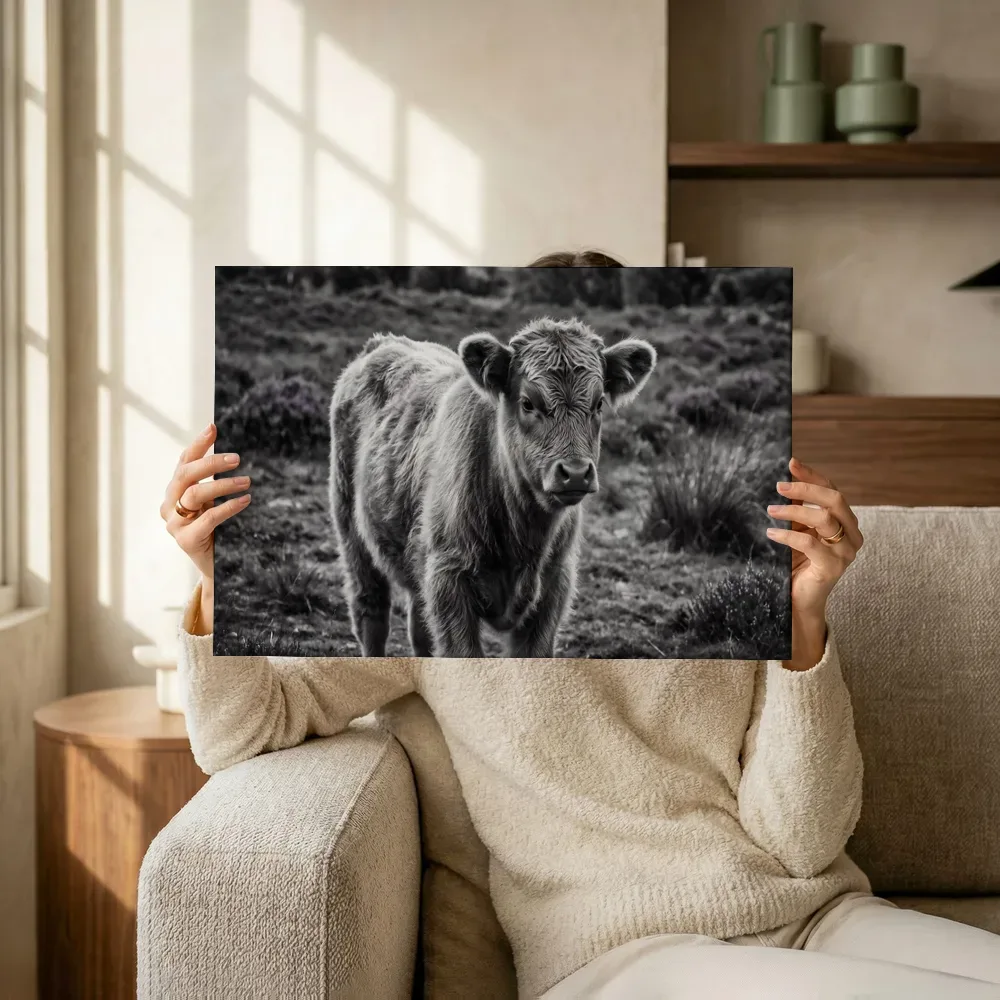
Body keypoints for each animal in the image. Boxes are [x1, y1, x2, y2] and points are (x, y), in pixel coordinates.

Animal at [329, 317, 657, 658]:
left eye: (599, 403)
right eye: (527, 403)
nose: (576, 473)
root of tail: (384, 342)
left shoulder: (554, 586)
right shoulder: (449, 580)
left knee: (419, 629)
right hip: (351, 531)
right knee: (371, 613)